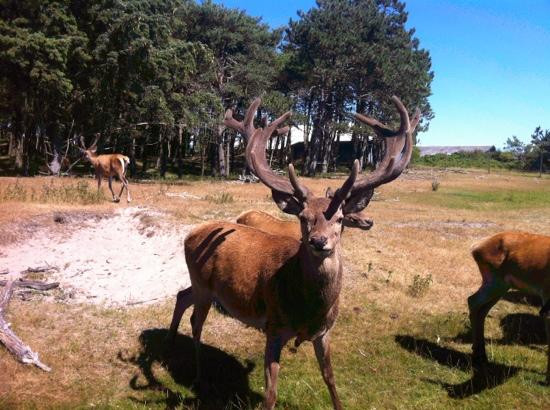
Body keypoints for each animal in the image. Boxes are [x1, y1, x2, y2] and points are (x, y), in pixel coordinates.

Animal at [169, 97, 422, 410]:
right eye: (303, 217)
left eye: (340, 218)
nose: (318, 241)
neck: (308, 310)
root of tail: (191, 233)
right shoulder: (274, 327)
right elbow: (271, 393)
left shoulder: (325, 332)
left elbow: (330, 378)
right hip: (204, 285)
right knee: (196, 322)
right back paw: (198, 376)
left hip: (203, 286)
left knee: (181, 295)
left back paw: (170, 342)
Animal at [470, 231, 550, 384]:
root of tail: (477, 247)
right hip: (495, 284)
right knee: (472, 302)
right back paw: (478, 358)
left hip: (501, 288)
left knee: (481, 310)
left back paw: (481, 357)